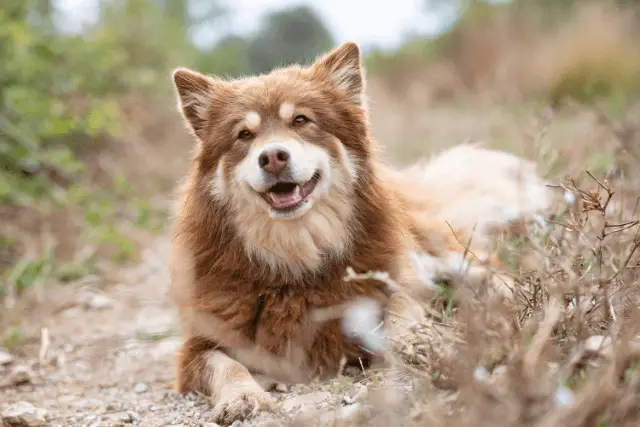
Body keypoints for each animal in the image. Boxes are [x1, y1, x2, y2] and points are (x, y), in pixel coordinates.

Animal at [170, 41, 556, 424]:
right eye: (244, 135)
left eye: (300, 120)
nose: (273, 157)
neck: (297, 256)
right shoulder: (198, 347)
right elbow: (226, 366)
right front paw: (243, 396)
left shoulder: (398, 277)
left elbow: (402, 310)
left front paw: (414, 341)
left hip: (445, 256)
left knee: (492, 271)